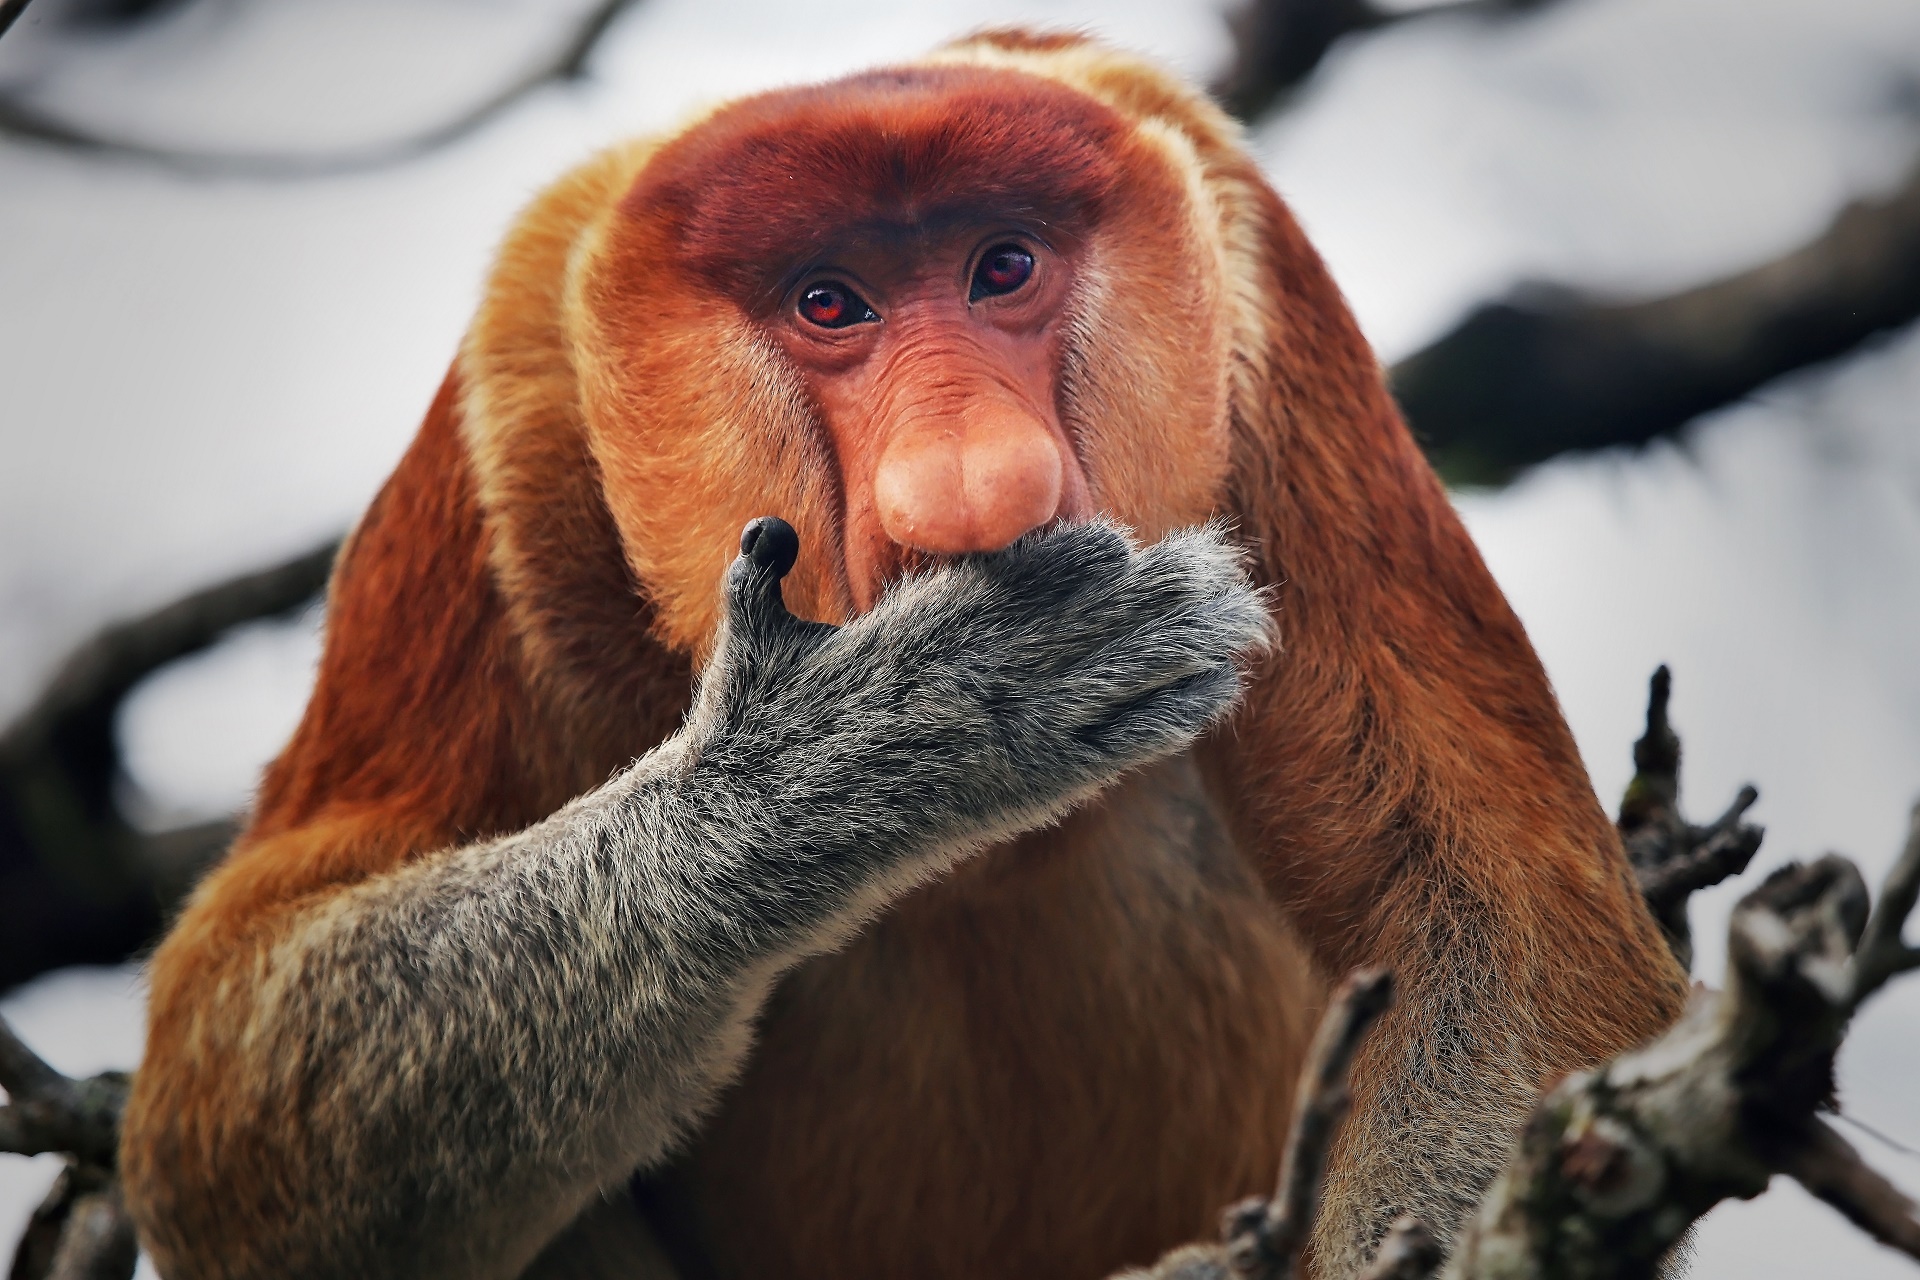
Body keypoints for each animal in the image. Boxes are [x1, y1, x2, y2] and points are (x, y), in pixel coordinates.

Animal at [118, 28, 1690, 1280]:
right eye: (831, 302)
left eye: (1004, 266)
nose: (977, 488)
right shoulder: (512, 419)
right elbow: (224, 1098)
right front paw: (912, 729)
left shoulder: (1258, 286)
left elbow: (1500, 941)